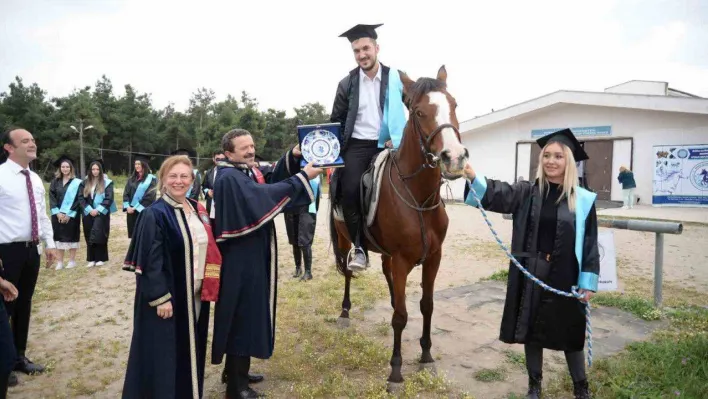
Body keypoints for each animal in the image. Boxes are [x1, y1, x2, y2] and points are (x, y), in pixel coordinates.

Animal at [330, 67, 468, 390]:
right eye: (419, 112)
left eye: (454, 105)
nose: (454, 157)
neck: (418, 197)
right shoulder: (403, 260)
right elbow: (400, 317)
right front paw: (395, 371)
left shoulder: (433, 258)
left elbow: (426, 305)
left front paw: (426, 356)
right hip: (344, 241)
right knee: (348, 273)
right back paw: (345, 312)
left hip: (387, 254)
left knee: (385, 272)